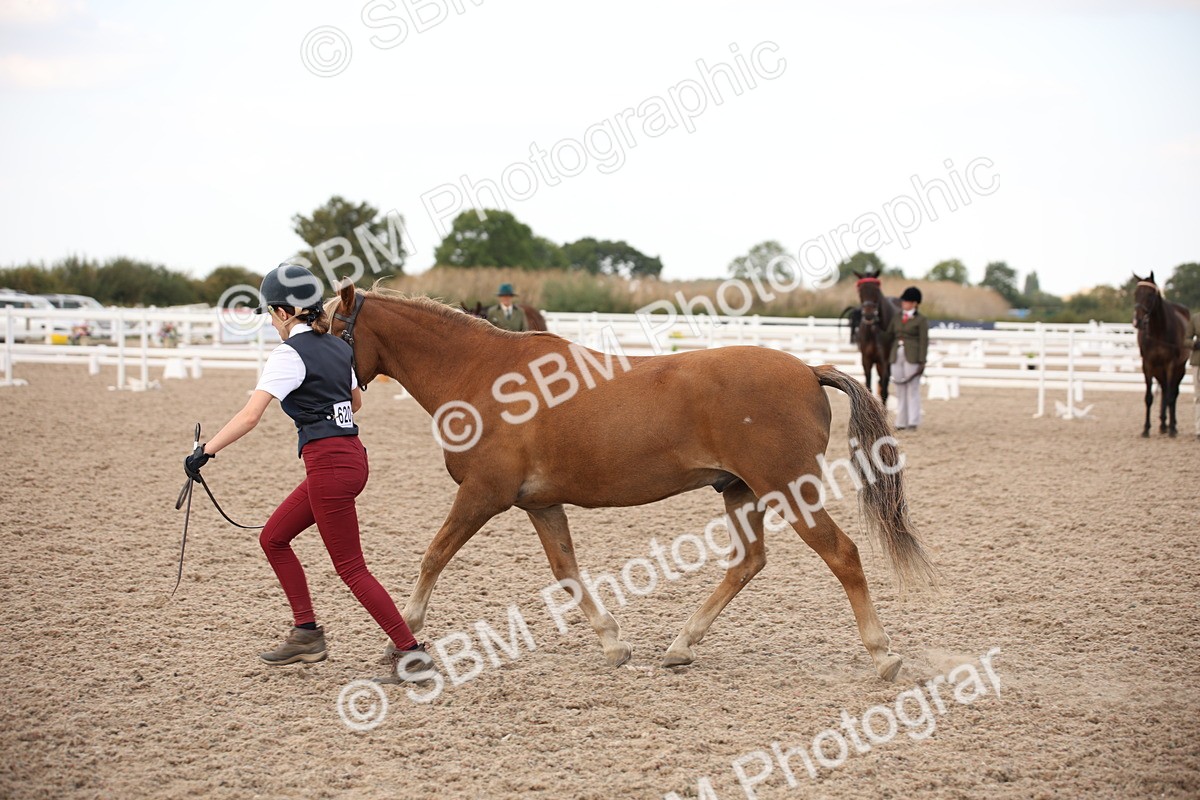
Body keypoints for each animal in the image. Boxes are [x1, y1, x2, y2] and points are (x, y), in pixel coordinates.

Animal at [329, 283, 935, 681]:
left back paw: (883, 654)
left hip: (788, 488)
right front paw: (612, 643)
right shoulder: (540, 505)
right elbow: (567, 573)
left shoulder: (482, 495)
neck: (481, 375)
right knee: (748, 563)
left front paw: (404, 643)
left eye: (332, 329)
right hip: (742, 491)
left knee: (842, 554)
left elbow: (433, 555)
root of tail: (809, 369)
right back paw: (681, 645)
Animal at [1132, 272, 1191, 437]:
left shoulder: (1171, 364)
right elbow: (1149, 397)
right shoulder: (1148, 365)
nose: (1137, 321)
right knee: (1164, 389)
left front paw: (1172, 429)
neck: (1158, 331)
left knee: (1173, 392)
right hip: (1159, 370)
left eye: (1150, 294)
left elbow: (1171, 396)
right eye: (1136, 294)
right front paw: (1146, 429)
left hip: (1179, 368)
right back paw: (1163, 424)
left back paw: (1172, 426)